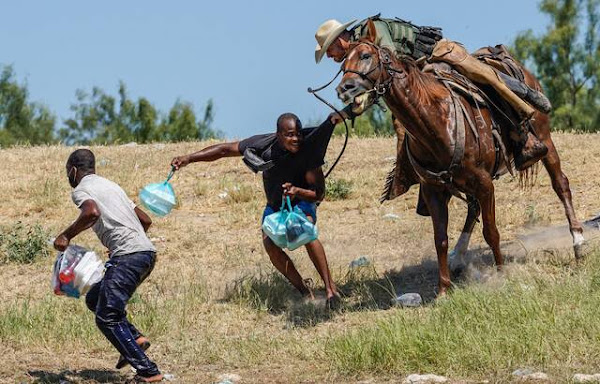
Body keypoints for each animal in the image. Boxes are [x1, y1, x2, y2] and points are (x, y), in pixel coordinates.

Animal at [338, 19, 584, 296]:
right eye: (342, 63)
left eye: (366, 55)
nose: (344, 89)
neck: (435, 121)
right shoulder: (434, 190)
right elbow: (441, 239)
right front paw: (443, 289)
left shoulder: (485, 184)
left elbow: (491, 232)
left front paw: (501, 274)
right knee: (472, 208)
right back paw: (458, 257)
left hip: (545, 140)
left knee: (560, 184)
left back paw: (578, 242)